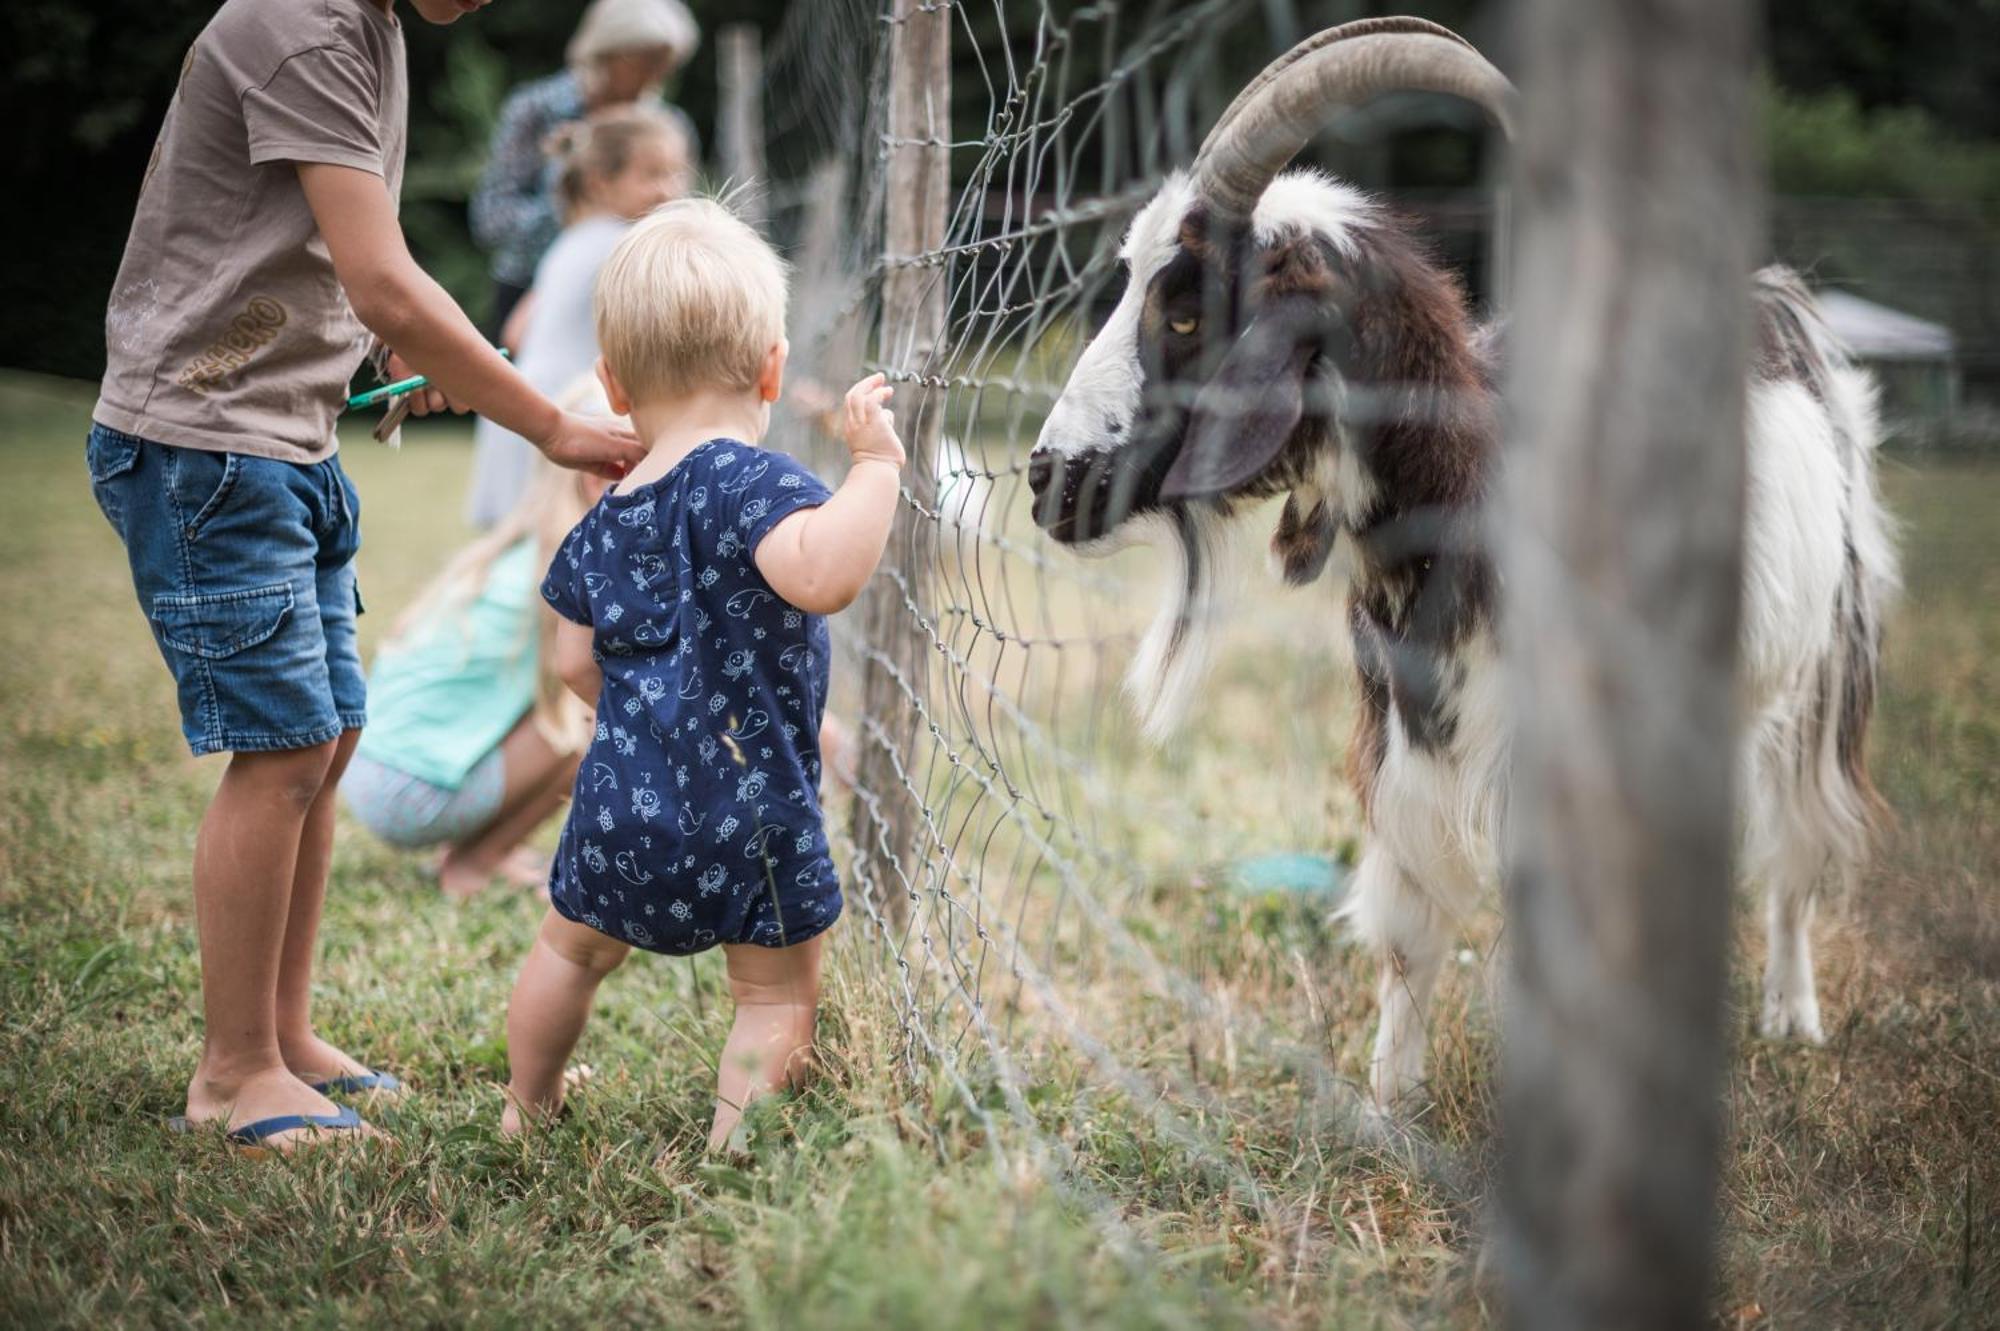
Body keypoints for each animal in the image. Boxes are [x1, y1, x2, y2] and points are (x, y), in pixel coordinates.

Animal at [1024, 15, 1896, 1111]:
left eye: (1184, 311)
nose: (1046, 476)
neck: (1477, 485)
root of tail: (1772, 298)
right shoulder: (1407, 731)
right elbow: (1409, 926)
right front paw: (1387, 1100)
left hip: (1824, 666)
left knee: (1792, 847)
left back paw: (1792, 1013)